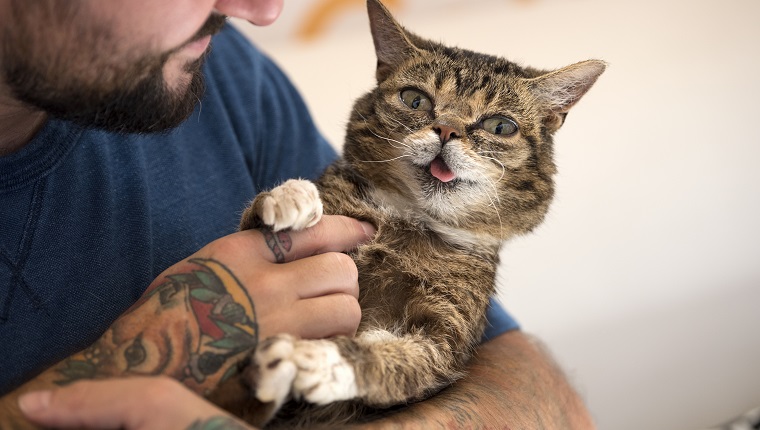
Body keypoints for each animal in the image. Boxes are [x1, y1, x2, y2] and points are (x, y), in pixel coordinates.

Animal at [209, 0, 604, 426]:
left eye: (500, 126)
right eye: (415, 99)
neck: (411, 221)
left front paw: (326, 361)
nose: (447, 130)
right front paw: (289, 194)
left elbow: (399, 360)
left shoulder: (445, 334)